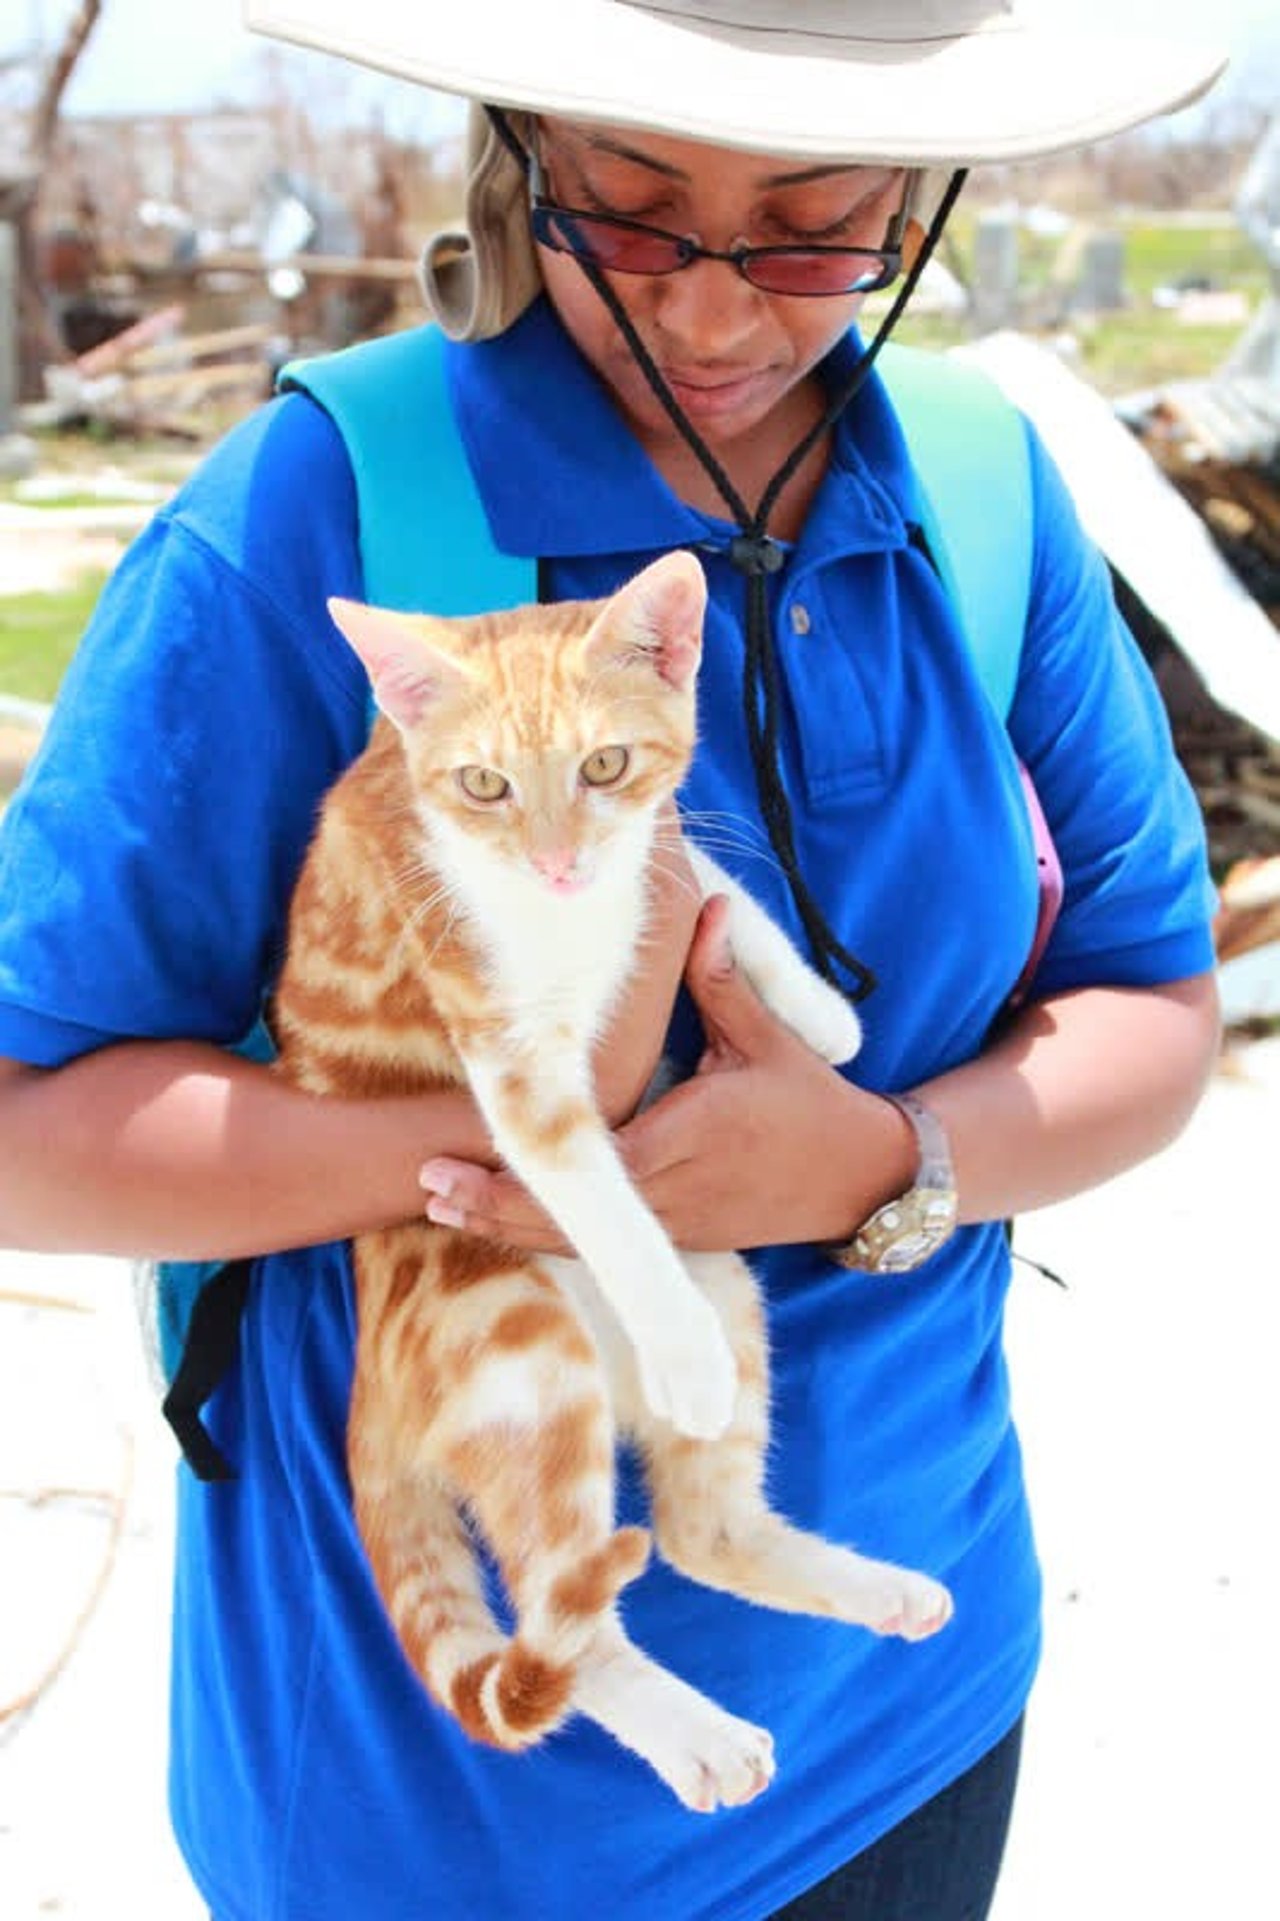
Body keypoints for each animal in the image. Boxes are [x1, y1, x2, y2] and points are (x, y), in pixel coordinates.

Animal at [269, 549, 945, 1805]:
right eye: (483, 785)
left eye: (604, 764)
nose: (557, 863)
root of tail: (369, 1396)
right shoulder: (508, 1058)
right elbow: (599, 1196)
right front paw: (672, 1333)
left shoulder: (656, 851)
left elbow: (716, 886)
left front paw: (815, 1013)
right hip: (518, 1350)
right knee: (565, 1611)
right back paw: (697, 1731)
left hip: (723, 1282)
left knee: (697, 1533)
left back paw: (875, 1584)